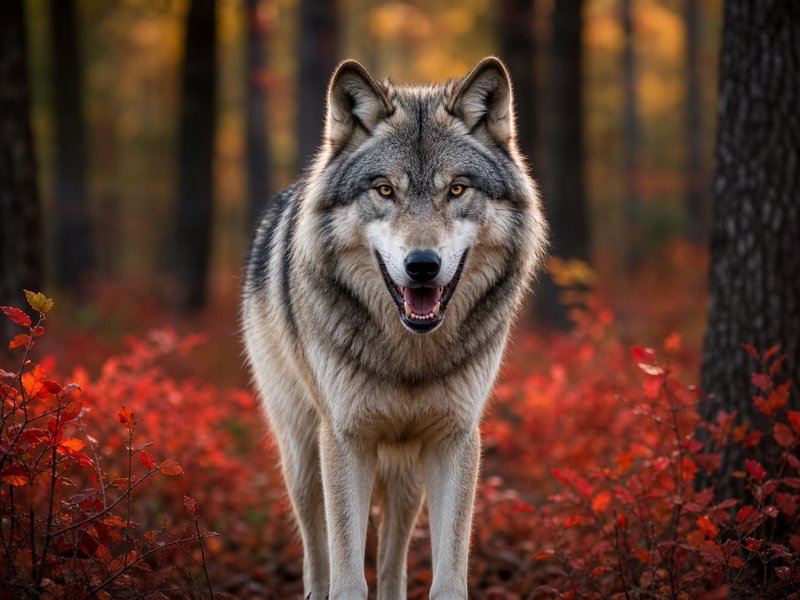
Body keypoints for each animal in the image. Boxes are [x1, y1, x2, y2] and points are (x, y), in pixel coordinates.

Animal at [242, 57, 548, 599]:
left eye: (456, 189)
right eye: (385, 190)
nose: (422, 266)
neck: (410, 355)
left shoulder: (454, 439)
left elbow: (446, 578)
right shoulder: (345, 440)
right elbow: (346, 578)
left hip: (406, 475)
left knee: (391, 560)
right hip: (302, 455)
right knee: (316, 553)